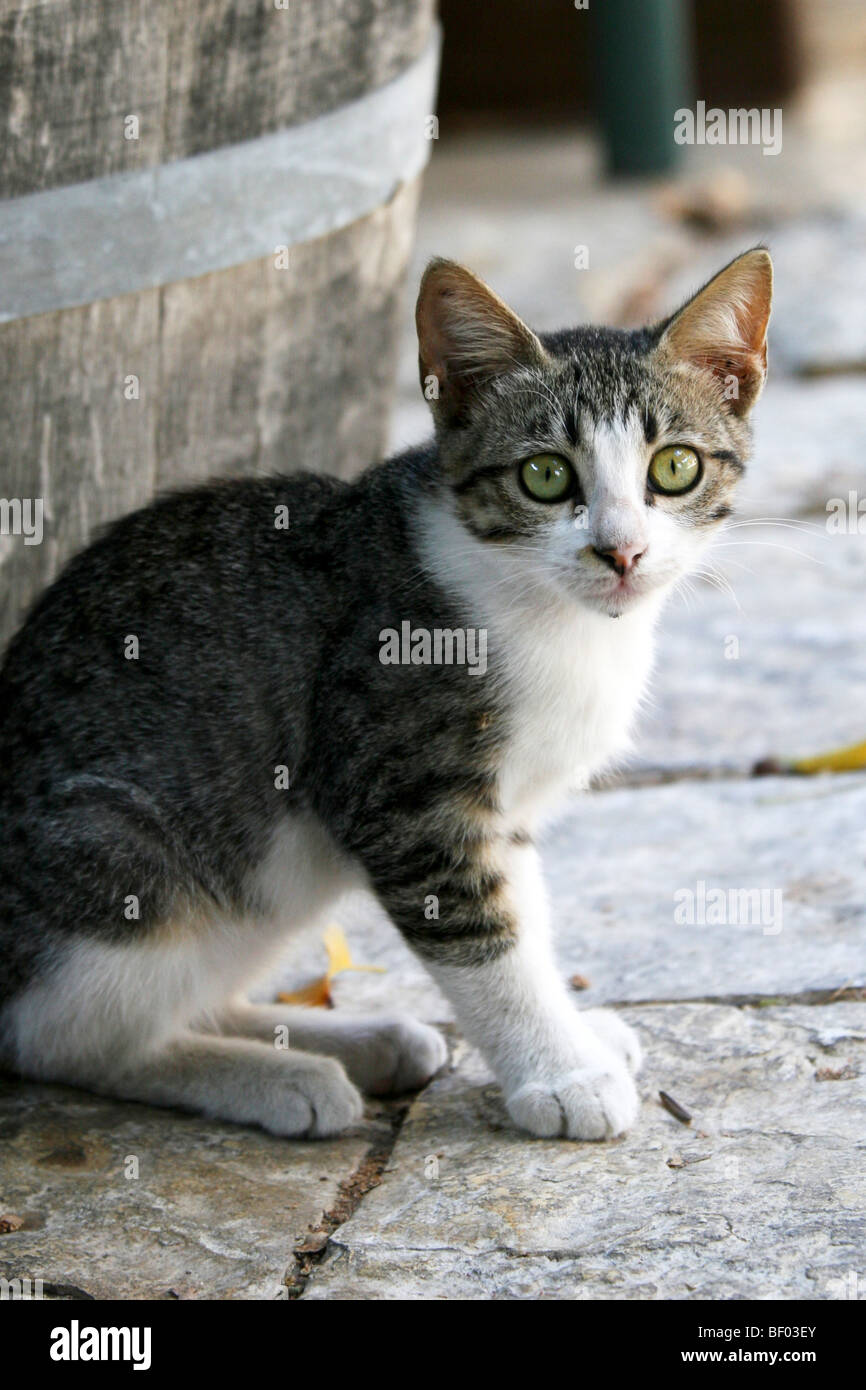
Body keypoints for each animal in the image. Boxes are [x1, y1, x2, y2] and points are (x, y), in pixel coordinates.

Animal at [0, 250, 772, 1139]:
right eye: (544, 476)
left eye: (675, 467)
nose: (622, 552)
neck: (554, 617)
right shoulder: (406, 794)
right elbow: (484, 938)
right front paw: (562, 1073)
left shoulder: (502, 812)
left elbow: (523, 907)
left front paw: (575, 1036)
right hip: (124, 851)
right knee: (61, 1040)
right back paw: (278, 1077)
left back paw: (357, 1041)